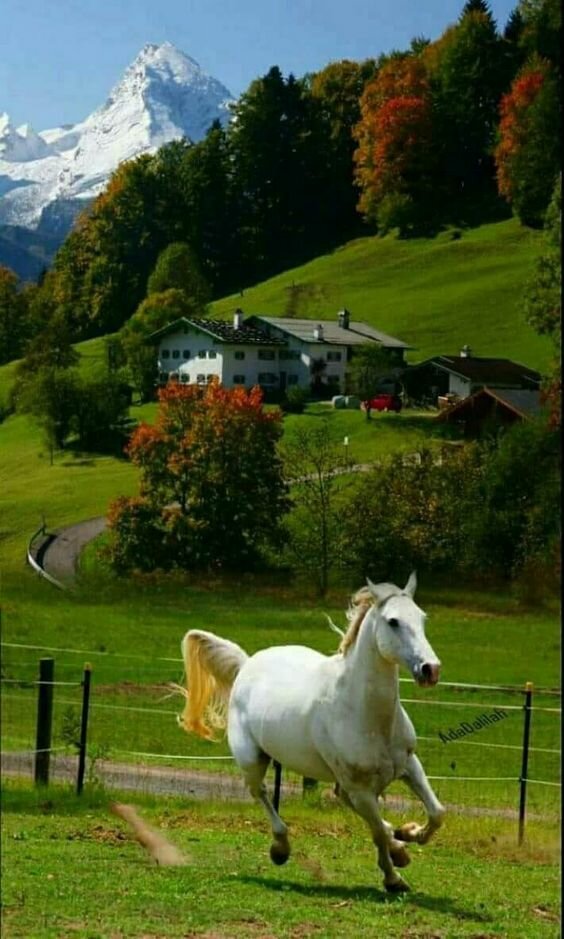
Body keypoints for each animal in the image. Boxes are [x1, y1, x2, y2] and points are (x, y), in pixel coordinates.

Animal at [176, 573, 445, 892]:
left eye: (422, 618)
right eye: (393, 621)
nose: (430, 669)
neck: (366, 714)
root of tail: (247, 663)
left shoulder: (407, 765)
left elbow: (437, 813)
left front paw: (408, 835)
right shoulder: (360, 789)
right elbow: (377, 830)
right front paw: (393, 878)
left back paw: (399, 845)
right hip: (252, 760)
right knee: (260, 793)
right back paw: (280, 848)